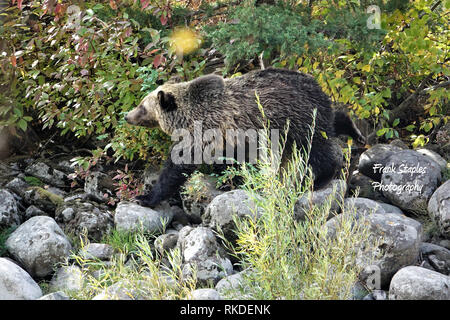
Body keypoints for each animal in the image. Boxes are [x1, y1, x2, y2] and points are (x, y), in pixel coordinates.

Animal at [125, 68, 364, 208]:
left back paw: (321, 176)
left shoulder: (202, 135)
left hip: (298, 122)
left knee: (316, 152)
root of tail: (316, 85)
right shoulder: (226, 139)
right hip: (315, 112)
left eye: (142, 106)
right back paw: (354, 131)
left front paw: (146, 196)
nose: (127, 115)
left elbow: (176, 168)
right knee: (333, 122)